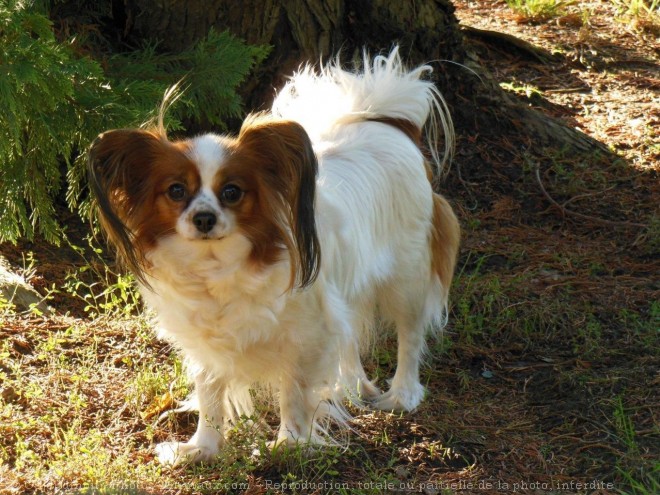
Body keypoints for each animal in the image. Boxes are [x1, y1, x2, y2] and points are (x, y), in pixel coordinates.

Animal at [87, 48, 458, 466]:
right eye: (176, 190)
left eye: (232, 192)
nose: (204, 218)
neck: (218, 266)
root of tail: (386, 120)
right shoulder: (207, 343)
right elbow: (210, 393)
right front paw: (203, 447)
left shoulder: (306, 333)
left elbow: (293, 392)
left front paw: (290, 443)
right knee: (350, 342)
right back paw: (354, 387)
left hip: (406, 277)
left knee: (410, 334)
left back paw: (402, 393)